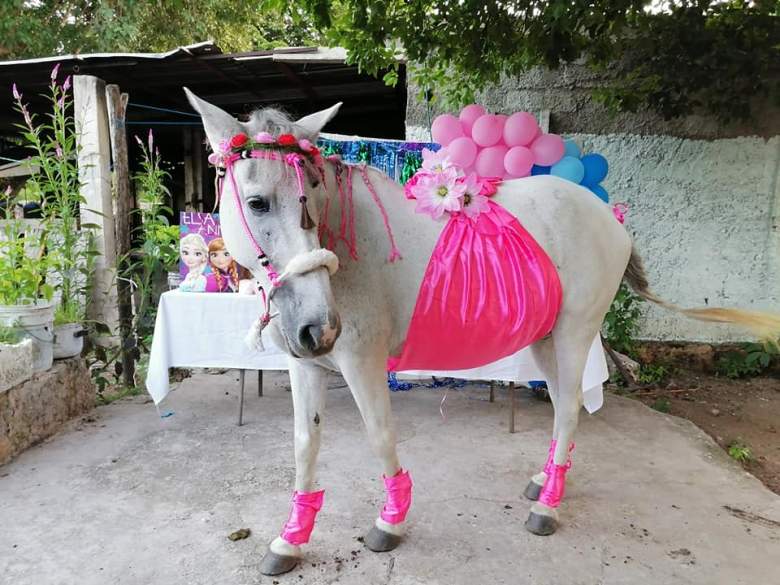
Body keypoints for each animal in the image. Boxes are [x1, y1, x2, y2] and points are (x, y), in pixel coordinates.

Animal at [184, 91, 780, 576]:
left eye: (311, 194)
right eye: (258, 203)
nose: (319, 326)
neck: (352, 252)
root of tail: (612, 221)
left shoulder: (361, 363)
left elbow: (381, 436)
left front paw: (390, 522)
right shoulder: (306, 364)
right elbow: (305, 447)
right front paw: (290, 540)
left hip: (573, 336)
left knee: (568, 411)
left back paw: (546, 507)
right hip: (543, 341)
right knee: (562, 405)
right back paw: (546, 480)